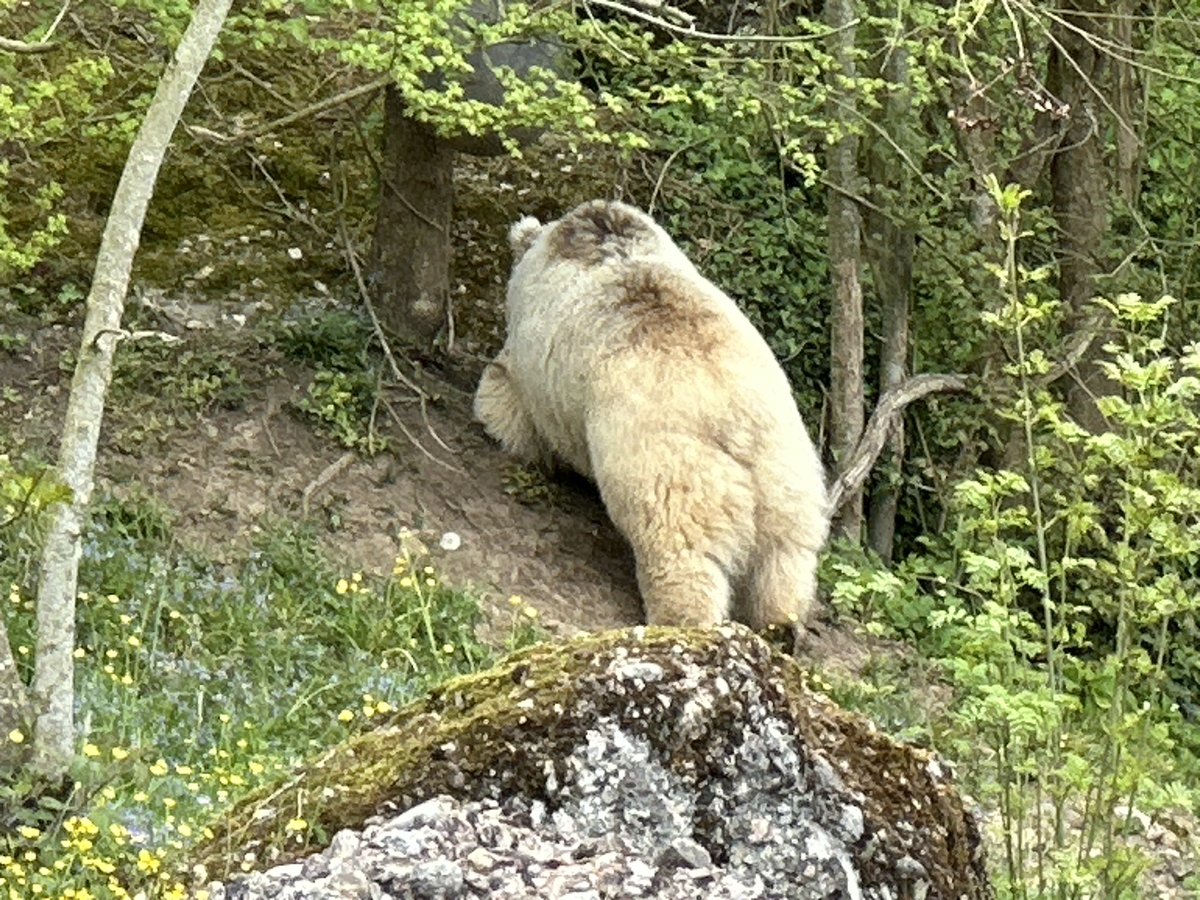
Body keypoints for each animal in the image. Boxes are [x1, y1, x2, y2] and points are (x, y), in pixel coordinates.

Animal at [474, 199, 829, 632]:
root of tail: (735, 419)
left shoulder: (535, 365)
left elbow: (509, 396)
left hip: (669, 465)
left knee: (679, 548)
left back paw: (679, 617)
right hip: (788, 472)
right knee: (784, 557)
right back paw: (780, 622)